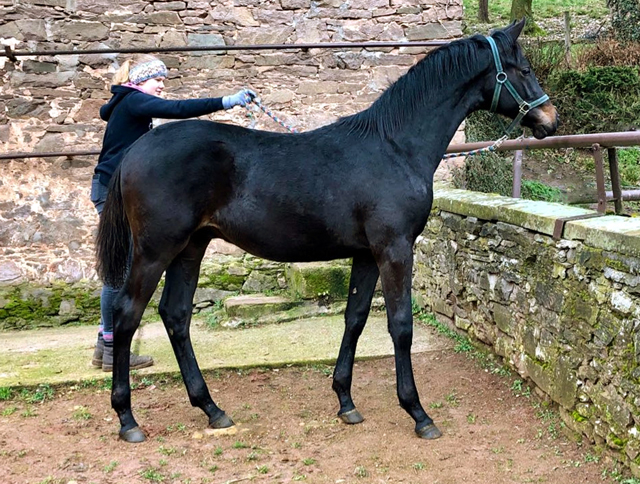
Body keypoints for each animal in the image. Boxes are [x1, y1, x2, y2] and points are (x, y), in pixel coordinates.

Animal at [97, 19, 556, 442]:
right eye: (525, 68)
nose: (550, 120)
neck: (394, 147)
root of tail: (135, 152)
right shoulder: (394, 249)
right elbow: (400, 325)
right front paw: (417, 412)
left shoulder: (367, 253)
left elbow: (355, 318)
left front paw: (345, 401)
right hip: (156, 250)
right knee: (126, 314)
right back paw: (127, 419)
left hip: (191, 248)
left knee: (175, 315)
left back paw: (211, 408)